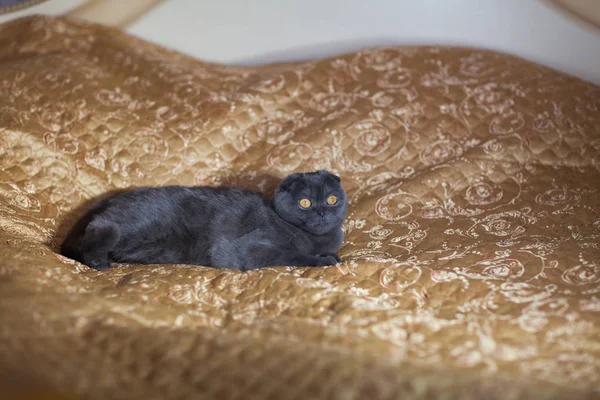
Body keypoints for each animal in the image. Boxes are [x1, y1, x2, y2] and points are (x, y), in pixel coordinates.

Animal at [60, 170, 346, 270]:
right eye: (305, 202)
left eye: (332, 199)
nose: (322, 212)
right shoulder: (252, 249)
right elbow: (293, 255)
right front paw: (324, 260)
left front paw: (331, 255)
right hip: (133, 225)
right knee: (100, 228)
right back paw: (99, 262)